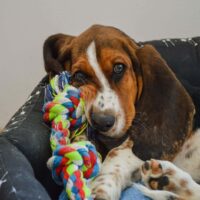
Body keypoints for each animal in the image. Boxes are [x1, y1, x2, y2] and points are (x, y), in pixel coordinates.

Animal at [43, 25, 200, 200]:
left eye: (119, 68)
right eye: (80, 75)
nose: (102, 122)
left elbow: (117, 154)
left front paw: (99, 190)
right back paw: (167, 179)